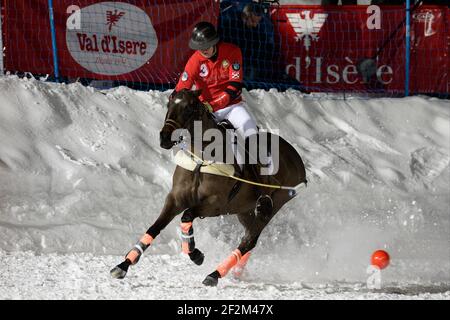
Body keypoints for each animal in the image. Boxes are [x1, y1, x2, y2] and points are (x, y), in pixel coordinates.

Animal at [110, 89, 306, 286]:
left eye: (188, 108)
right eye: (169, 104)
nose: (165, 138)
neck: (201, 159)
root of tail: (296, 157)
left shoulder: (216, 204)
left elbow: (187, 216)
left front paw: (195, 254)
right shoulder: (175, 199)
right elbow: (155, 227)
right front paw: (123, 265)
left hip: (273, 205)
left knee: (250, 240)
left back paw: (215, 274)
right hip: (245, 210)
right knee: (249, 237)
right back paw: (237, 272)